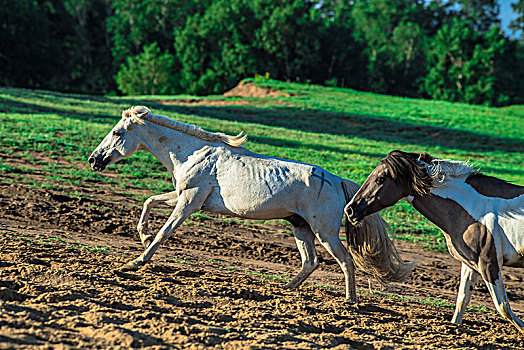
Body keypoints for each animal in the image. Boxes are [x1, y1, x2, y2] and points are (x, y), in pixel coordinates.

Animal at [88, 106, 412, 300]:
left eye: (117, 132)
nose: (93, 160)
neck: (193, 152)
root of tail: (336, 180)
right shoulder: (185, 196)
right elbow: (149, 201)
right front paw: (142, 236)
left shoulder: (189, 201)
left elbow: (165, 231)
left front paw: (137, 260)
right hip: (301, 228)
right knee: (310, 262)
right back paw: (284, 289)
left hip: (325, 231)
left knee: (345, 261)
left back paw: (350, 301)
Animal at [344, 150, 524, 334]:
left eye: (380, 178)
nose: (350, 210)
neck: (477, 209)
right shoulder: (471, 264)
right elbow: (462, 300)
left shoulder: (489, 264)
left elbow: (503, 306)